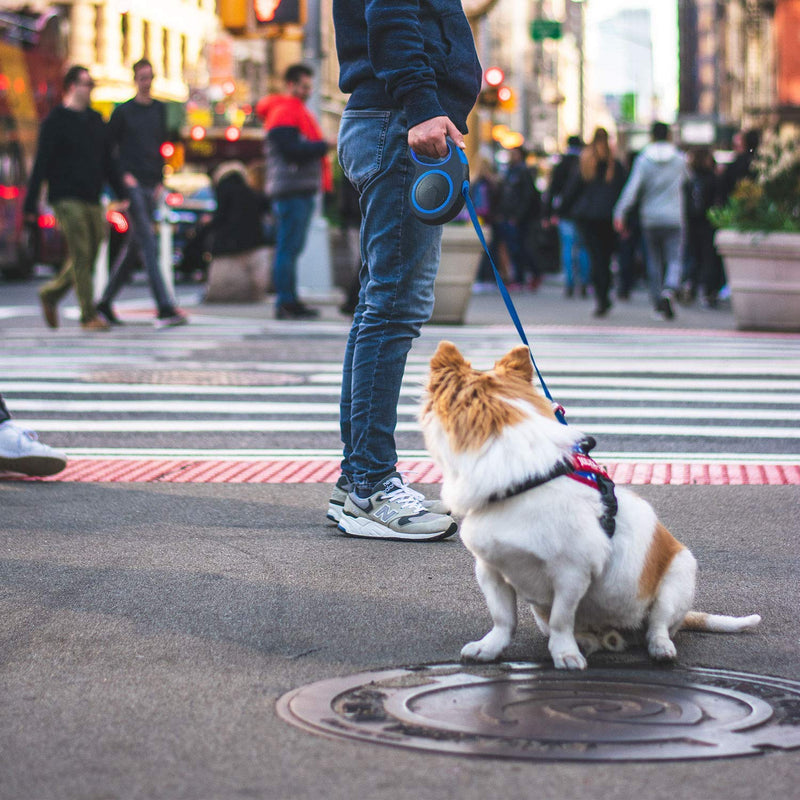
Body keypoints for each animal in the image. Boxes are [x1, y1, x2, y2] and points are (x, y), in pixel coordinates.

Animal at [418, 340, 764, 672]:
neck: (525, 481)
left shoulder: (571, 573)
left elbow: (561, 619)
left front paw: (565, 655)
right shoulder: (490, 570)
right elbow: (504, 619)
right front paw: (490, 648)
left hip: (677, 578)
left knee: (658, 625)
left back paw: (658, 647)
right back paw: (591, 640)